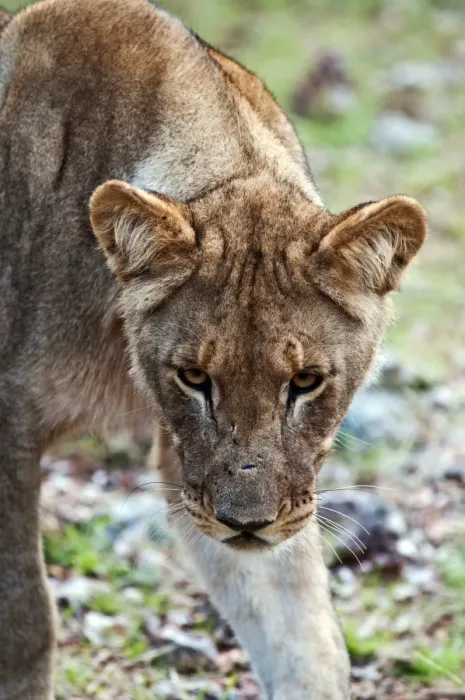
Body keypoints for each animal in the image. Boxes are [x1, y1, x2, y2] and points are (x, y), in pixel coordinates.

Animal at [0, 1, 427, 698]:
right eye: (195, 378)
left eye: (305, 381)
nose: (246, 523)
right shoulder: (9, 423)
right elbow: (24, 617)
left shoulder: (206, 474)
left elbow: (301, 634)